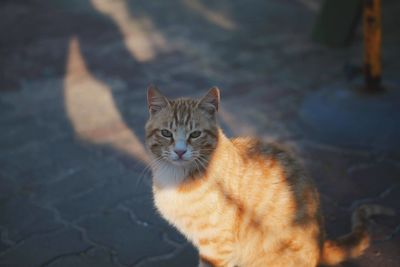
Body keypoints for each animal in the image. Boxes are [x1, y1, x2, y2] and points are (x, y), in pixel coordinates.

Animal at [145, 87, 394, 266]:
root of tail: (321, 243)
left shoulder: (217, 247)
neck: (178, 176)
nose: (180, 151)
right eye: (166, 133)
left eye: (195, 134)